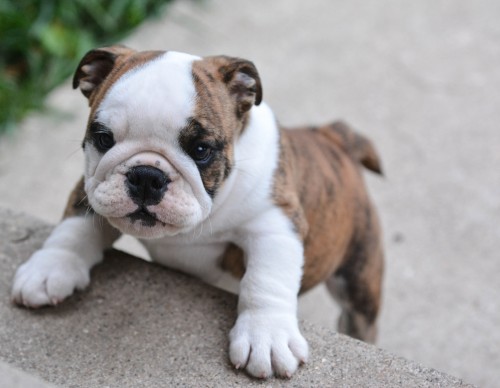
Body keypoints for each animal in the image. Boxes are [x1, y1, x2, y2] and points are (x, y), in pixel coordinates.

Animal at [13, 46, 384, 378]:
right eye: (104, 138)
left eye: (201, 150)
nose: (146, 176)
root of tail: (335, 137)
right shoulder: (92, 189)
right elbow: (73, 227)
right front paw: (50, 268)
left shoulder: (275, 221)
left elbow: (266, 277)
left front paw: (267, 336)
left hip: (358, 279)